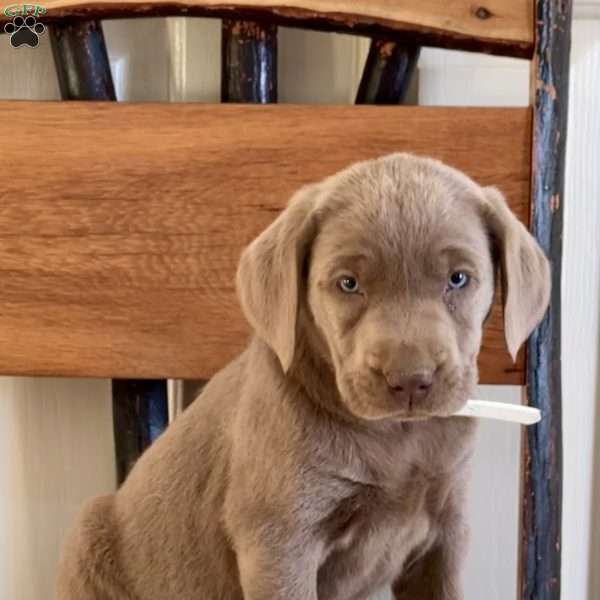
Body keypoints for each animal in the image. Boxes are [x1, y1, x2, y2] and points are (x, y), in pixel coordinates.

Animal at [56, 152, 548, 596]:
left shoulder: (444, 532)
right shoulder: (279, 542)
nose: (410, 377)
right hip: (87, 540)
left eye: (459, 279)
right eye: (348, 284)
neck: (397, 437)